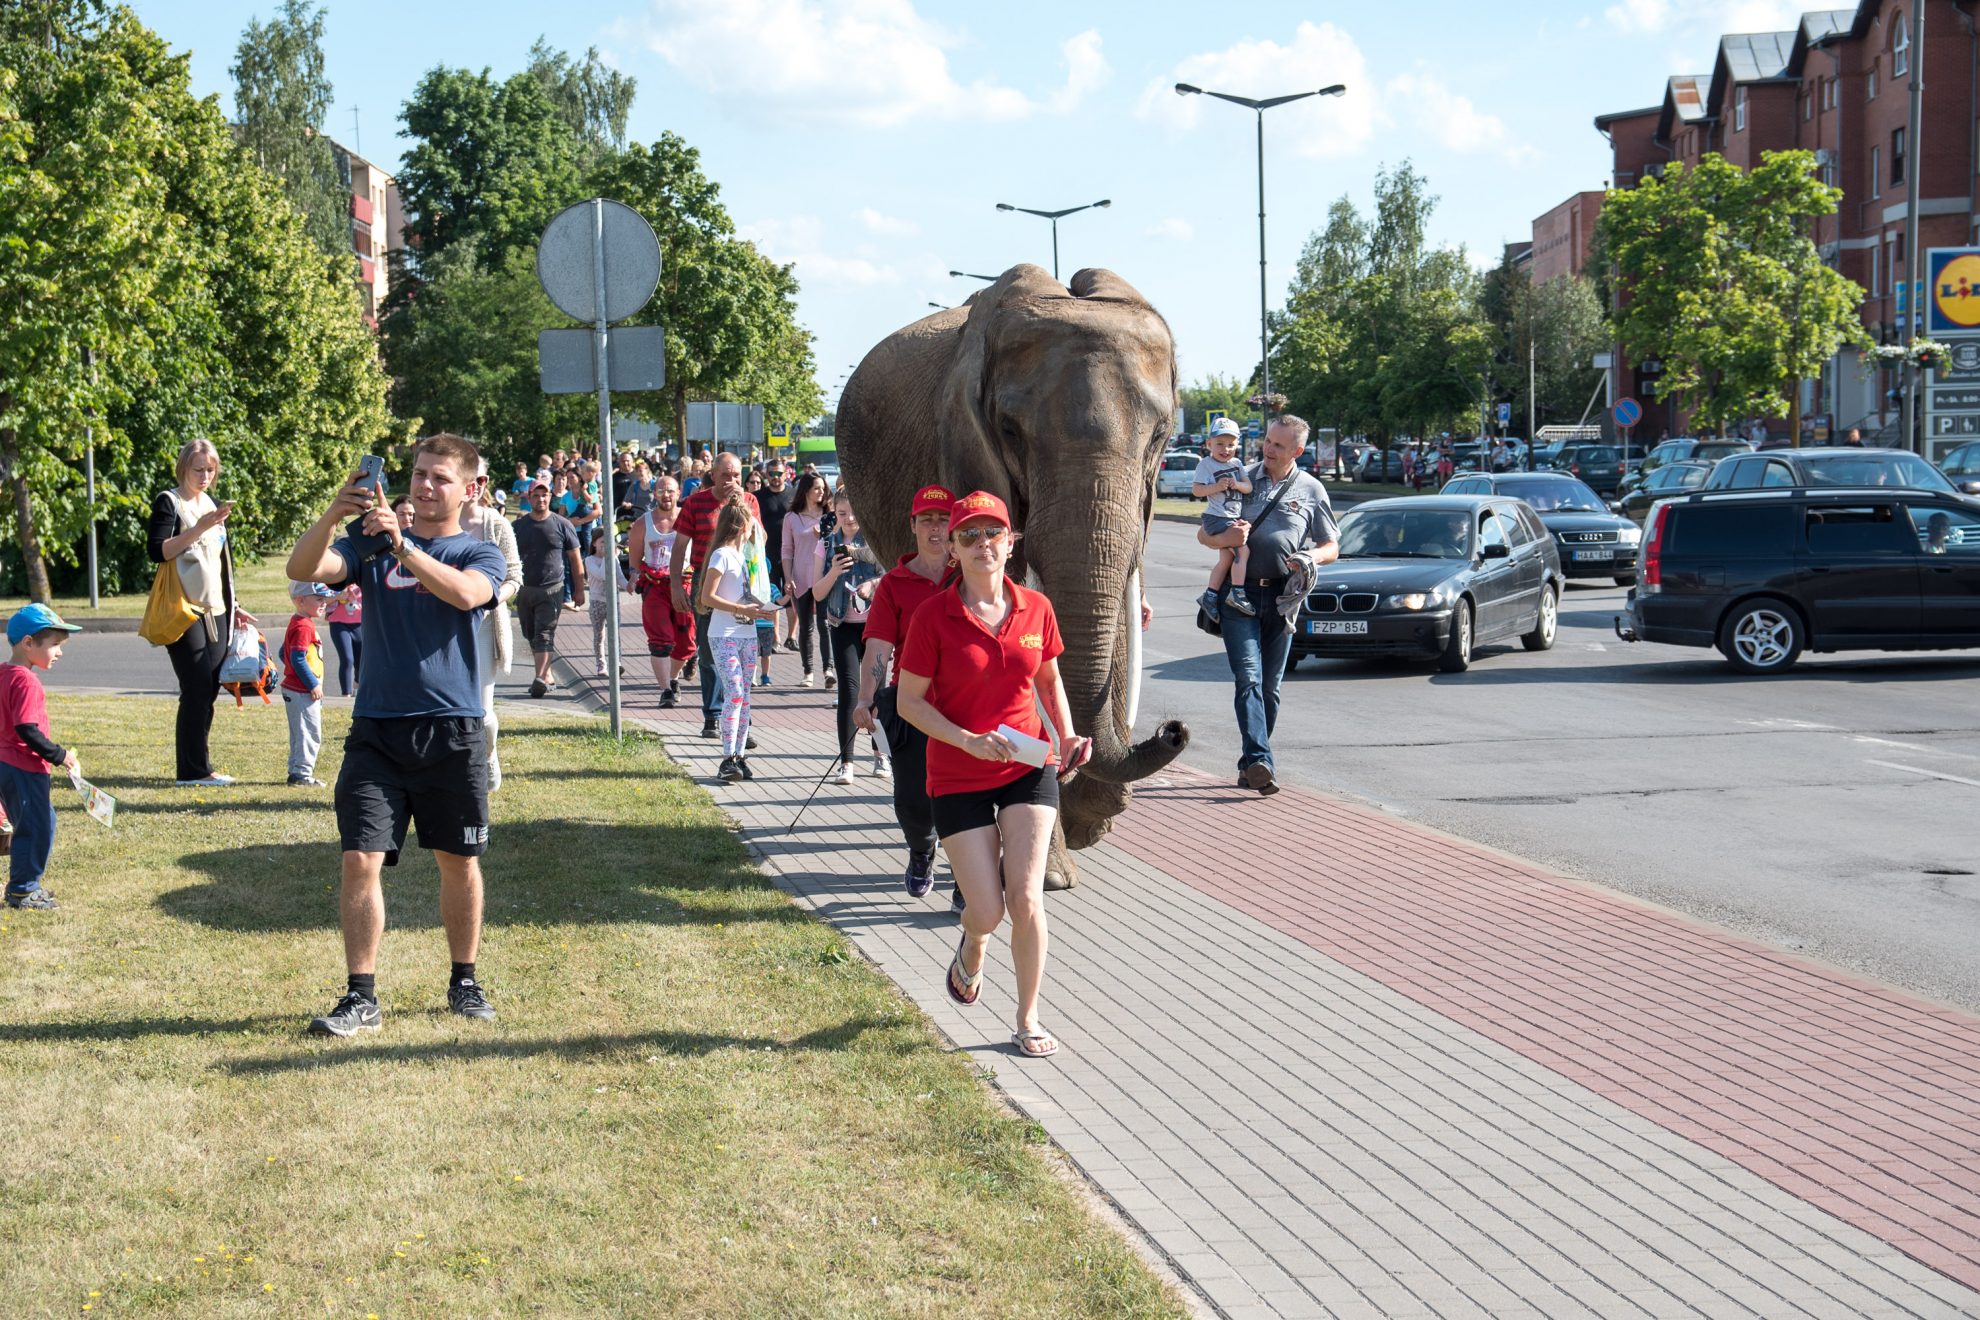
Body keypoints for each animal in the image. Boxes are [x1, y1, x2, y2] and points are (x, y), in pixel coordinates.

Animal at [839, 265, 1188, 894]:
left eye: (1161, 436)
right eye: (1008, 430)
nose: (1173, 729)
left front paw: (1080, 826)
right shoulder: (963, 447)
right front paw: (1051, 870)